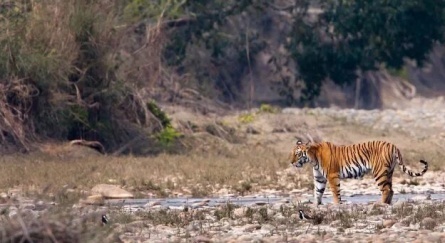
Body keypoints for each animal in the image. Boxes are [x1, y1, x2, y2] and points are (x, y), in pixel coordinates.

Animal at [290, 140, 428, 205]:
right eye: (292, 153)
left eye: (298, 154)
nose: (291, 162)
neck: (313, 159)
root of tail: (393, 146)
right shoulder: (319, 178)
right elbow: (317, 192)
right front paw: (316, 205)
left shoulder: (332, 176)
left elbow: (335, 192)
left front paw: (337, 205)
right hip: (389, 172)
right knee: (391, 189)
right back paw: (386, 204)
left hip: (379, 172)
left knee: (386, 189)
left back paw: (380, 204)